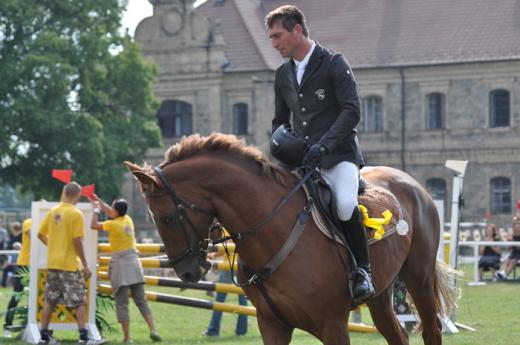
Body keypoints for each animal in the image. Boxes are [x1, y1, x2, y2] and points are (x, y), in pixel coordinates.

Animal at [125, 132, 456, 344]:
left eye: (167, 218)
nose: (187, 273)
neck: (272, 229)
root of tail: (414, 183)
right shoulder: (272, 325)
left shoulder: (334, 326)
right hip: (381, 295)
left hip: (418, 277)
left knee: (432, 330)